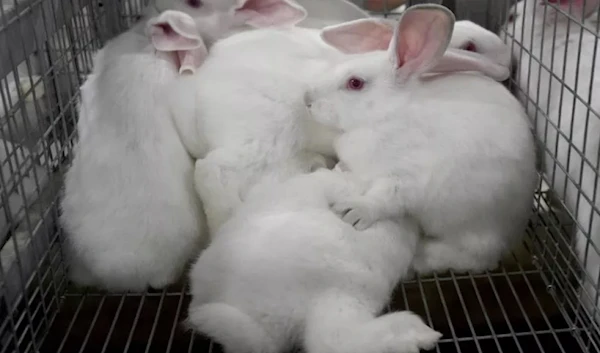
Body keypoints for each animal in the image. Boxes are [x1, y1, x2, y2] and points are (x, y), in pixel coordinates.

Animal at [308, 4, 536, 274]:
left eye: (355, 83)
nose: (307, 99)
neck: (387, 114)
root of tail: (515, 232)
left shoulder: (407, 177)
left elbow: (383, 199)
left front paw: (352, 211)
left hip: (472, 227)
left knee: (475, 258)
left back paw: (421, 258)